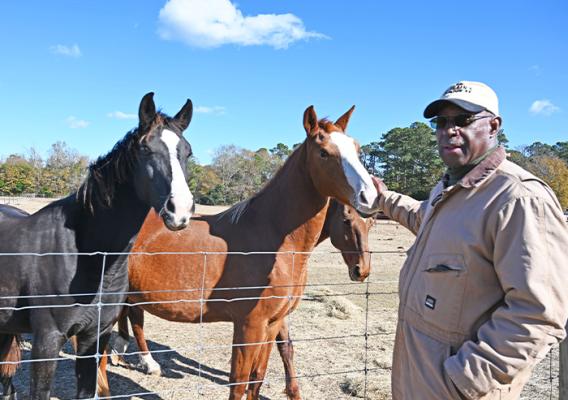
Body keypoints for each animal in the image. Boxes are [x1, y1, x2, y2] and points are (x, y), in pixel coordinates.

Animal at [0, 92, 195, 398]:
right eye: (146, 149)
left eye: (187, 152)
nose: (181, 210)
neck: (87, 256)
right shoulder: (46, 341)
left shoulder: (95, 336)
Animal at [117, 106, 378, 400]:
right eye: (324, 153)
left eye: (356, 148)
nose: (369, 196)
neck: (274, 239)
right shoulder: (249, 325)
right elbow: (240, 382)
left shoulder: (272, 323)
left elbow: (258, 376)